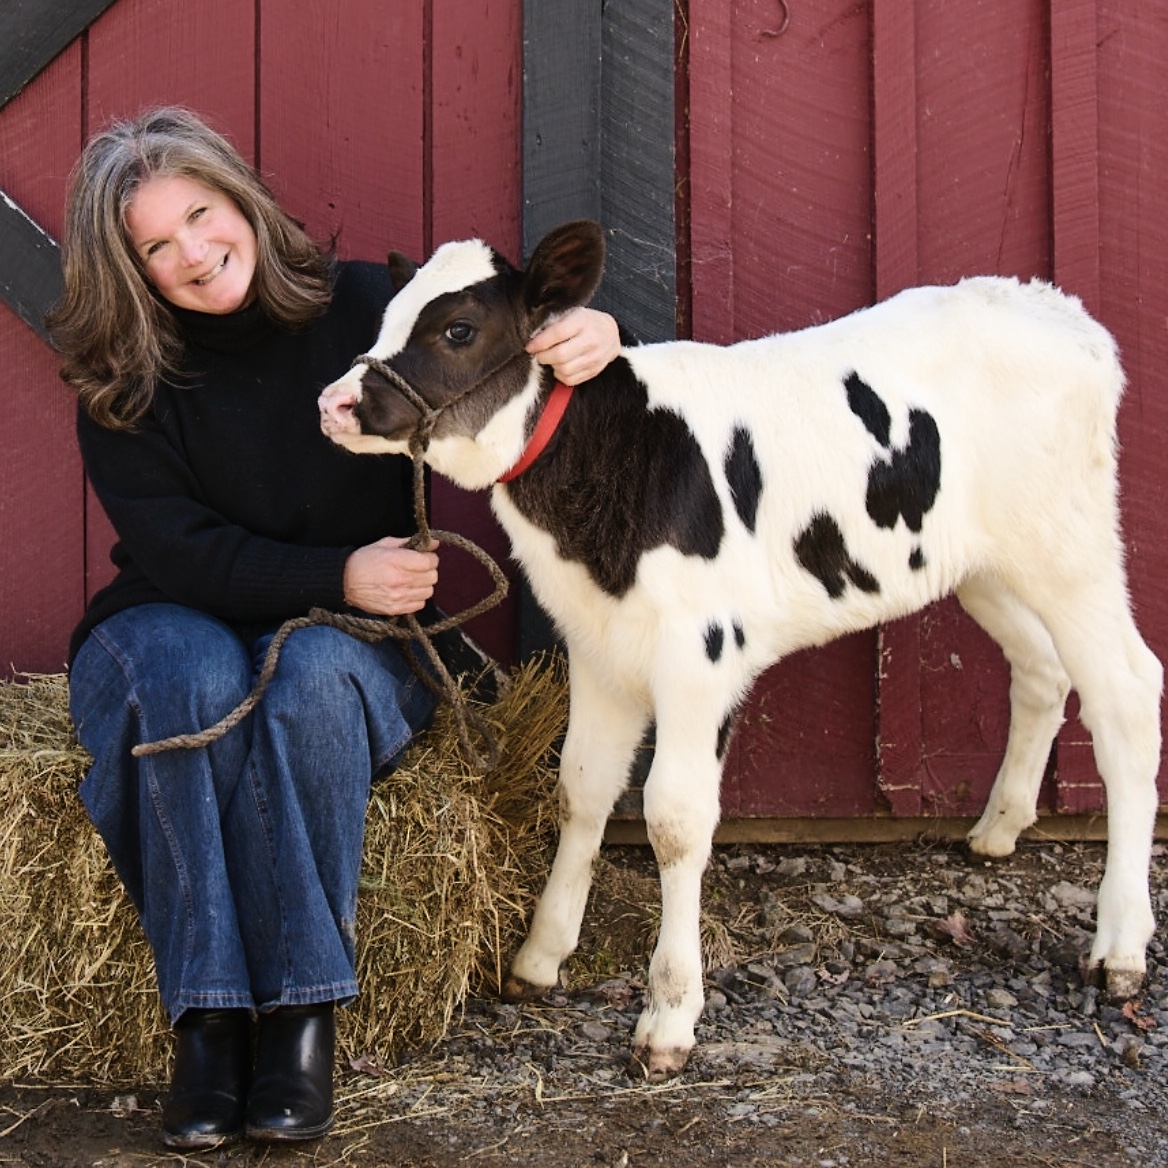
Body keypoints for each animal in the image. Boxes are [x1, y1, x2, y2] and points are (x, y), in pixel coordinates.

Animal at [318, 220, 1163, 1082]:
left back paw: (1121, 944)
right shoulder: (598, 646)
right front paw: (540, 955)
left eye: (458, 329)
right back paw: (997, 828)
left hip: (1071, 547)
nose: (336, 403)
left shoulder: (701, 656)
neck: (623, 467)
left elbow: (675, 820)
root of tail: (1051, 305)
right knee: (1042, 668)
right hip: (983, 564)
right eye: (389, 313)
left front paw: (669, 1015)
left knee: (1127, 691)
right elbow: (581, 789)